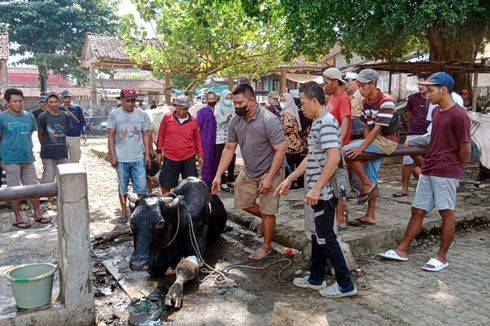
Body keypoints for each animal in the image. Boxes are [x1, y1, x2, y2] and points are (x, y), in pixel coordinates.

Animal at [128, 177, 228, 306]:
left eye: (160, 223)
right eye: (131, 222)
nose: (138, 264)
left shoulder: (197, 248)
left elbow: (184, 267)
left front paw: (174, 292)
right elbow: (155, 267)